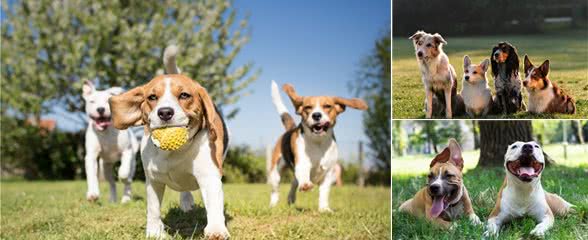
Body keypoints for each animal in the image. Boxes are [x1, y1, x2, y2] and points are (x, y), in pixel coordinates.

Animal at [109, 45, 231, 238]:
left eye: (184, 95)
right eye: (152, 97)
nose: (165, 112)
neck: (174, 152)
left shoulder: (209, 177)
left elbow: (213, 205)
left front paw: (216, 230)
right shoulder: (153, 181)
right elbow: (153, 209)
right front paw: (154, 232)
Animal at [268, 81, 368, 212]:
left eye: (327, 106)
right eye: (308, 107)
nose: (316, 115)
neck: (318, 143)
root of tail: (290, 129)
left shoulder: (328, 173)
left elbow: (324, 193)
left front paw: (324, 209)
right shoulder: (302, 164)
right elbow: (304, 176)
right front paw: (306, 185)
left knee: (294, 183)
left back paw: (291, 199)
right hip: (276, 173)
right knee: (275, 191)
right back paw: (273, 205)